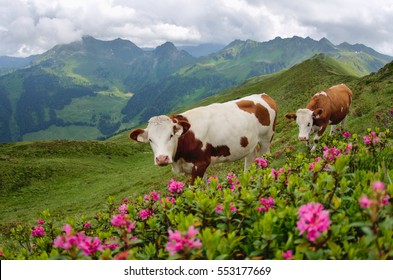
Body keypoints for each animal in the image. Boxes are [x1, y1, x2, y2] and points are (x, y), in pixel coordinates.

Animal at [129, 93, 276, 184]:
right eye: (150, 140)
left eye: (171, 135)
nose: (161, 159)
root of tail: (262, 95)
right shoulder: (191, 166)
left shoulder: (200, 163)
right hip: (250, 145)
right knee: (250, 163)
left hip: (266, 139)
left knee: (265, 160)